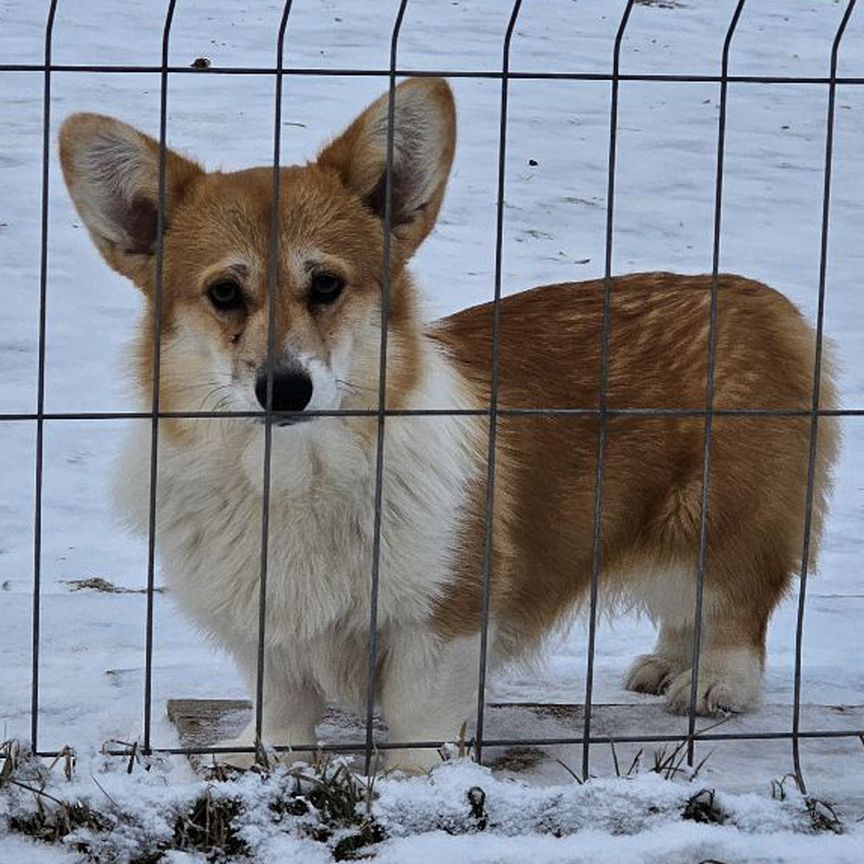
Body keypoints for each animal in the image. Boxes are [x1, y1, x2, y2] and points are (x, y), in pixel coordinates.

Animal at [60, 77, 836, 772]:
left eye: (327, 285)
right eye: (224, 293)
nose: (286, 389)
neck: (296, 475)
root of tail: (769, 304)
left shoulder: (442, 622)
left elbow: (416, 718)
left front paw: (414, 784)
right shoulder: (269, 629)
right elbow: (281, 707)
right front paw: (266, 756)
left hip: (717, 518)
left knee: (732, 607)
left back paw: (714, 683)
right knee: (685, 610)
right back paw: (664, 667)